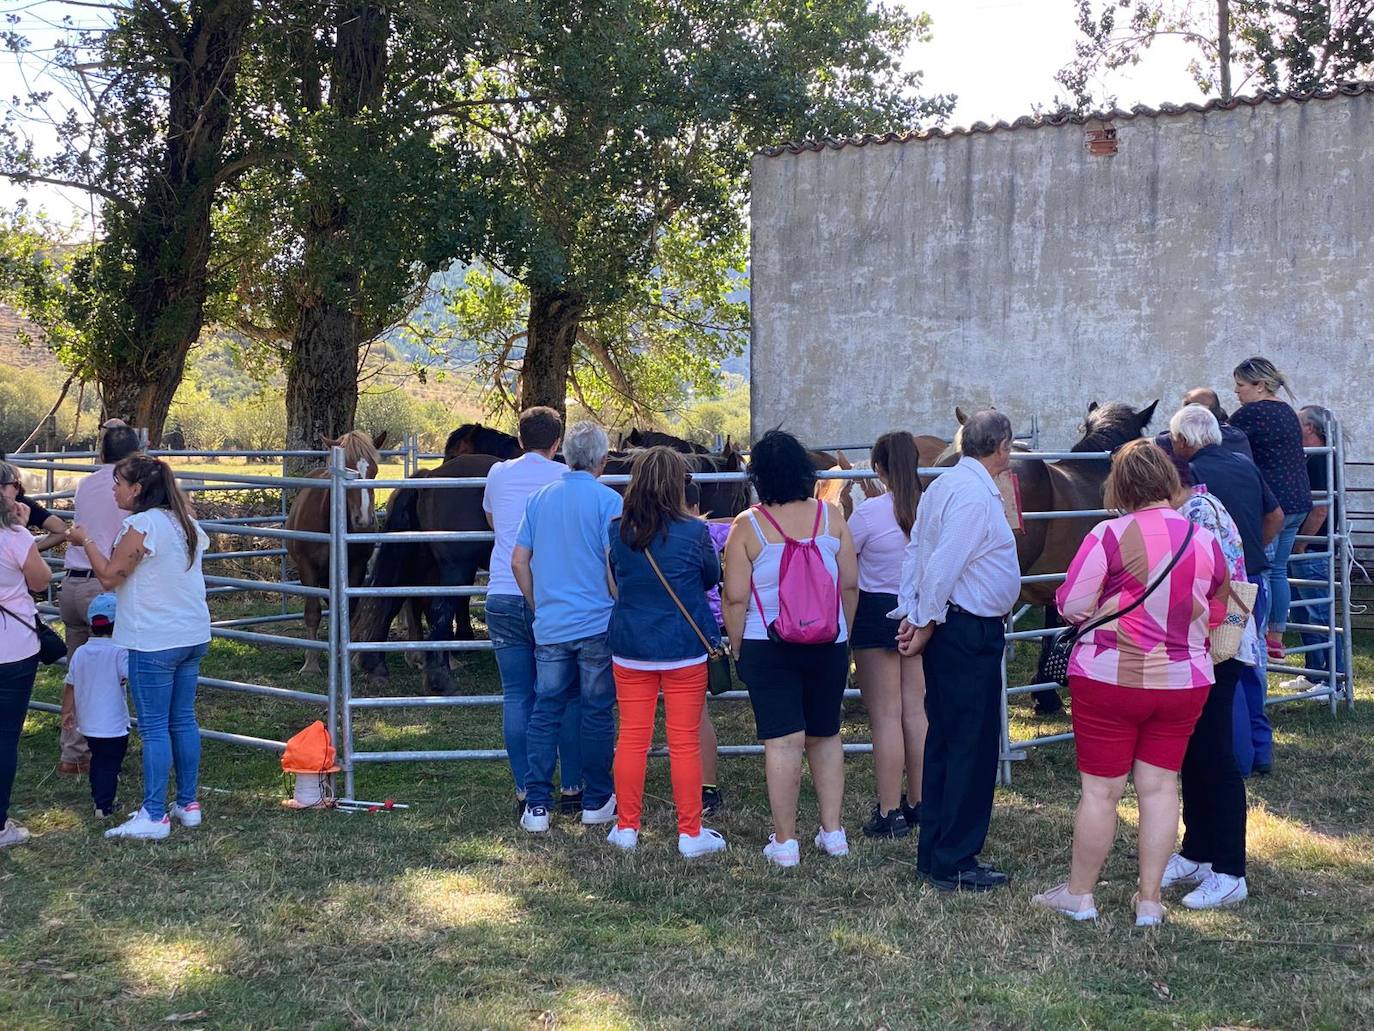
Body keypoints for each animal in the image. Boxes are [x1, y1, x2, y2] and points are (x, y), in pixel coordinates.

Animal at [281, 428, 384, 679]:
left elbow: (348, 610)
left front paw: (344, 657)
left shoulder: (356, 567)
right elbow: (312, 612)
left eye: (375, 471)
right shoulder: (307, 568)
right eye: (346, 469)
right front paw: (311, 664)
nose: (364, 521)